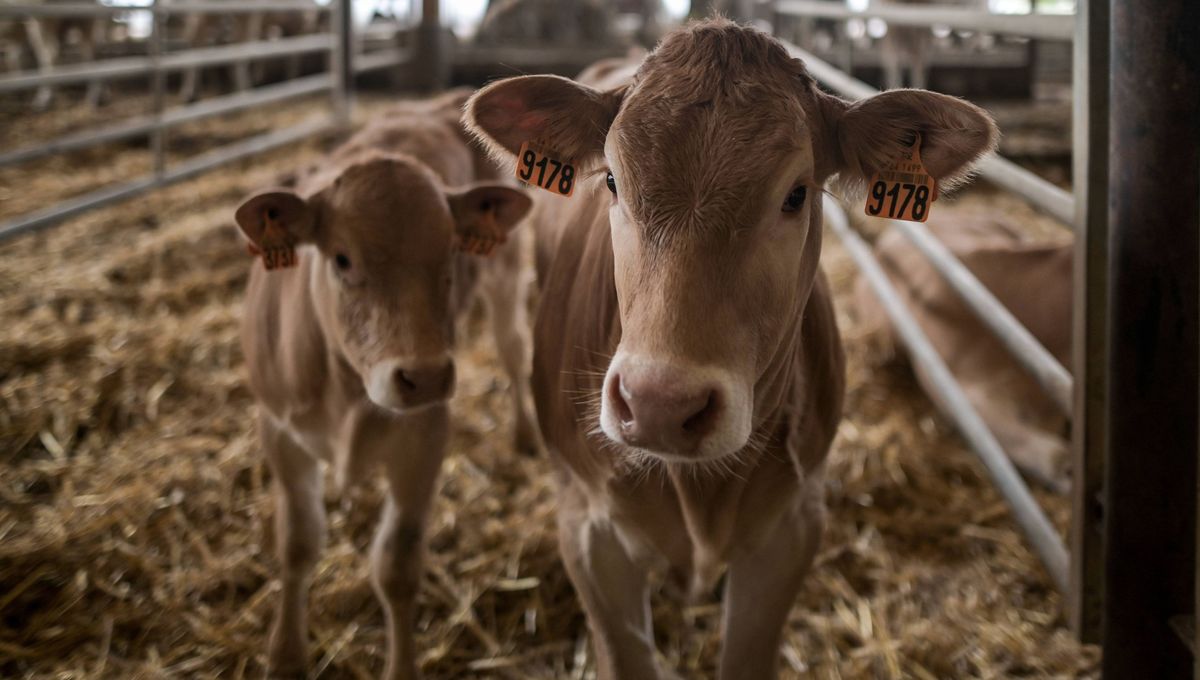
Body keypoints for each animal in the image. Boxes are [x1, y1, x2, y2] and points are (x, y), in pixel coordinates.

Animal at [234, 91, 535, 680]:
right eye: (342, 259)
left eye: (450, 252)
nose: (425, 376)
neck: (347, 388)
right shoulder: (278, 430)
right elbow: (298, 543)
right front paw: (286, 655)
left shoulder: (426, 436)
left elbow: (396, 565)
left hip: (507, 277)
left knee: (515, 352)